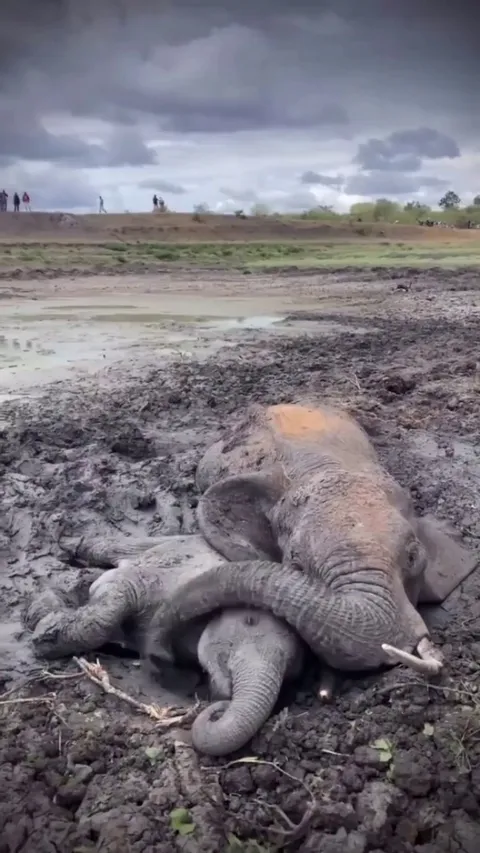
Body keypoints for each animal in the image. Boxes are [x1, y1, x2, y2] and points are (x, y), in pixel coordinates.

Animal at [24, 534, 305, 757]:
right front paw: (44, 635)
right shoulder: (150, 583)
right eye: (250, 621)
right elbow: (108, 609)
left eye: (291, 669)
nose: (218, 709)